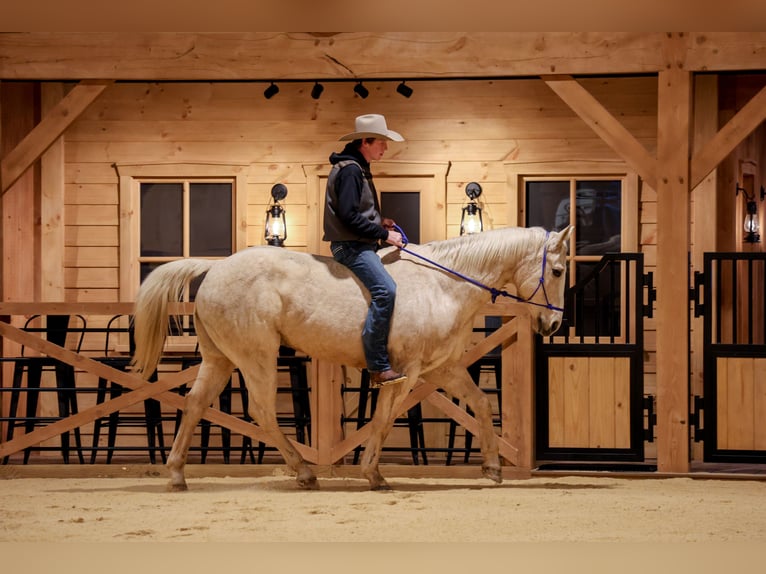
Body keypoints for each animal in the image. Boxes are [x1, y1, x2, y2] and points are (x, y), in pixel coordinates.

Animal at [131, 225, 573, 491]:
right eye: (558, 270)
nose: (553, 324)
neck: (443, 284)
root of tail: (215, 269)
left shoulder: (443, 368)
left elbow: (480, 403)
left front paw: (493, 468)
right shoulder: (405, 372)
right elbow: (384, 418)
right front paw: (373, 474)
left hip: (220, 359)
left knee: (194, 404)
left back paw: (177, 474)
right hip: (257, 356)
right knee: (261, 412)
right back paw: (305, 472)